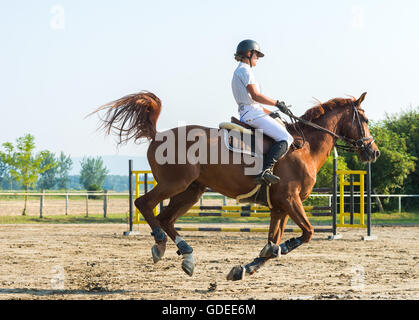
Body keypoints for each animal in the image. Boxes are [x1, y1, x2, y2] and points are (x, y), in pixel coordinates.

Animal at [93, 90, 382, 280]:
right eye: (365, 121)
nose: (374, 152)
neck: (306, 147)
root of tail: (159, 135)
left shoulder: (280, 206)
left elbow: (273, 240)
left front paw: (247, 267)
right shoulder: (290, 200)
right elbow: (307, 233)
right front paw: (279, 250)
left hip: (191, 191)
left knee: (165, 217)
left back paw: (187, 255)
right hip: (175, 183)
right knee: (144, 204)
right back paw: (161, 244)